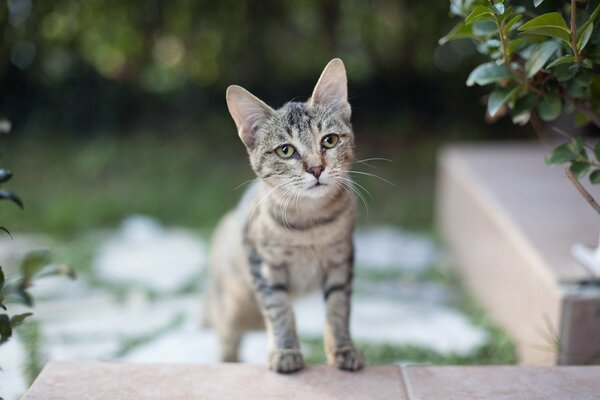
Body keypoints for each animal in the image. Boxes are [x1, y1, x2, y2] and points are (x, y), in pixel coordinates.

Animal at [202, 57, 364, 374]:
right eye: (286, 150)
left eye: (329, 141)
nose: (316, 168)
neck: (310, 224)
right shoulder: (264, 267)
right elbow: (279, 311)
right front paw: (285, 350)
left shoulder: (342, 259)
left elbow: (338, 309)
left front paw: (342, 349)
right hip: (231, 306)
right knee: (227, 338)